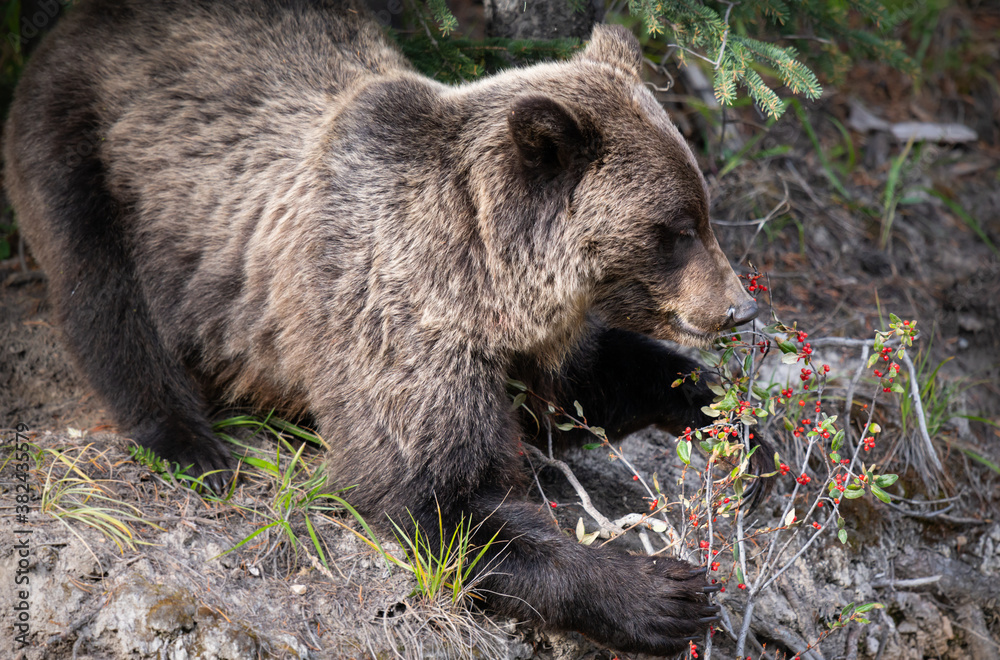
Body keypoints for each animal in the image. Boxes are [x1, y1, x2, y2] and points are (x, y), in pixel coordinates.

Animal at [4, 0, 768, 654]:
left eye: (701, 211)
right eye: (674, 229)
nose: (739, 306)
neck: (485, 280)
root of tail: (82, 20)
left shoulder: (524, 341)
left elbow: (582, 389)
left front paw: (737, 426)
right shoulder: (389, 313)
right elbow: (434, 493)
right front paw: (659, 593)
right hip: (89, 152)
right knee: (104, 296)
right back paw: (192, 445)